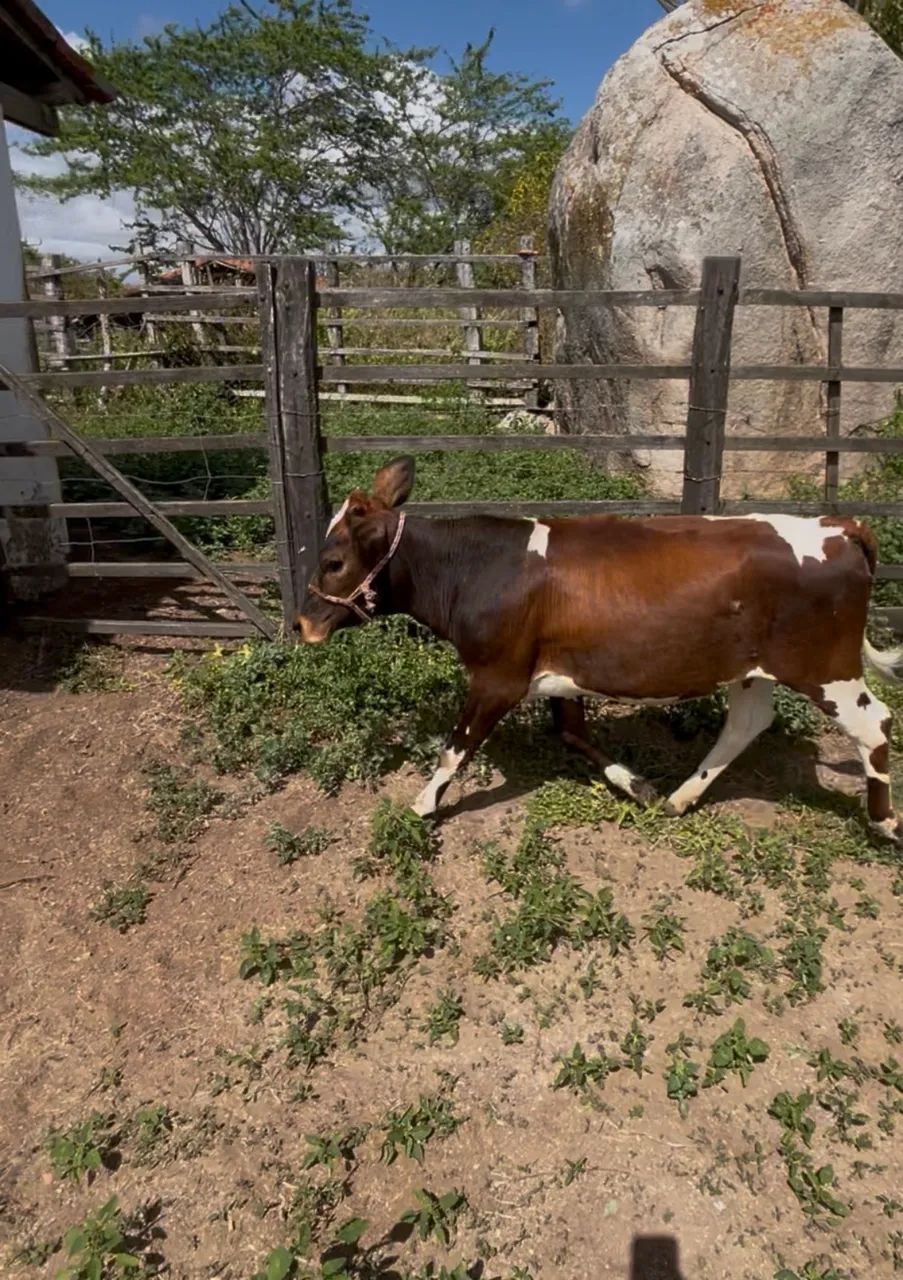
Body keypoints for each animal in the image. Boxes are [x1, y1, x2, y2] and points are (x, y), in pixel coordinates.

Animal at [298, 457, 903, 844]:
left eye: (333, 561)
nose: (304, 622)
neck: (477, 570)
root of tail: (838, 523)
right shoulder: (560, 673)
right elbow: (572, 733)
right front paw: (640, 787)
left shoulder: (497, 674)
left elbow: (456, 746)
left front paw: (424, 803)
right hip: (752, 667)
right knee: (748, 722)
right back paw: (681, 798)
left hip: (825, 665)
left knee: (875, 724)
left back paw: (884, 823)